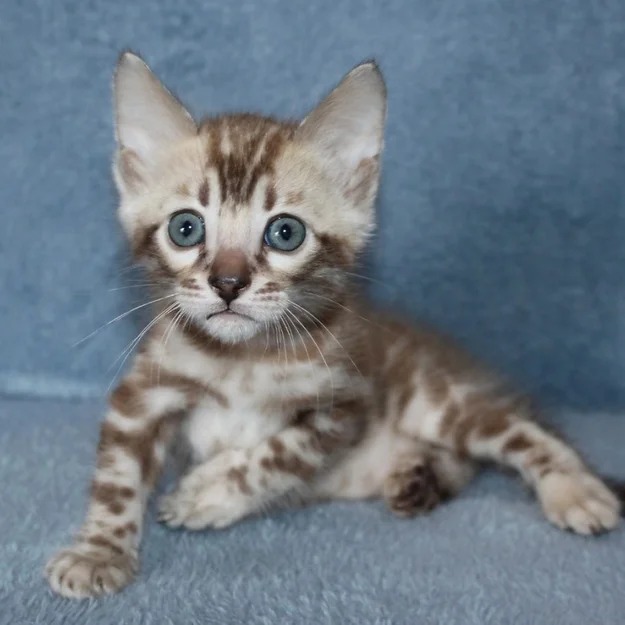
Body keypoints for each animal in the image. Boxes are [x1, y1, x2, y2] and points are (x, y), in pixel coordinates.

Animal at [46, 52, 622, 598]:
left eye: (285, 233)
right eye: (185, 228)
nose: (228, 283)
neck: (242, 361)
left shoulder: (346, 400)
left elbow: (278, 453)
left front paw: (207, 492)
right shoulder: (141, 397)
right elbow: (117, 479)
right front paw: (98, 551)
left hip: (439, 400)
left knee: (524, 431)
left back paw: (575, 489)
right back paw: (417, 477)